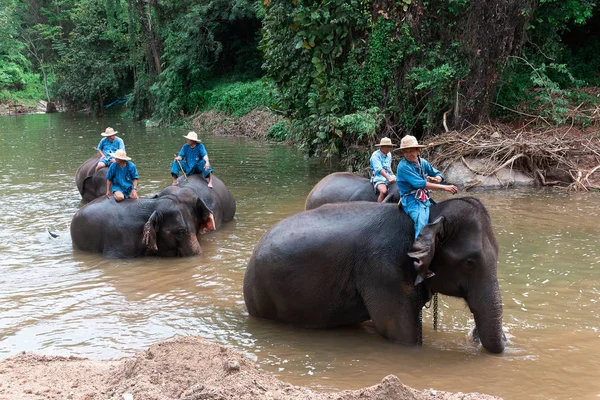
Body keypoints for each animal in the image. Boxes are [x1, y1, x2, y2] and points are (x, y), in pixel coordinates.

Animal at [241, 197, 504, 354]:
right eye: (469, 262)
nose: (472, 334)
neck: (429, 216)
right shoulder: (384, 271)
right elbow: (399, 334)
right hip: (264, 297)